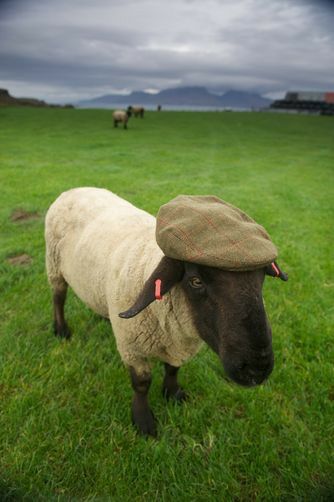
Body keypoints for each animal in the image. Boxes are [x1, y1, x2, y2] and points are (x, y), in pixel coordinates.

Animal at [45, 187, 288, 436]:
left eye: (261, 277)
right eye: (196, 281)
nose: (256, 369)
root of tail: (76, 189)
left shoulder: (177, 344)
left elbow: (172, 369)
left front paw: (173, 394)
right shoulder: (132, 348)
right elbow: (142, 384)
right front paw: (143, 421)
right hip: (53, 265)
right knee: (58, 297)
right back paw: (61, 330)